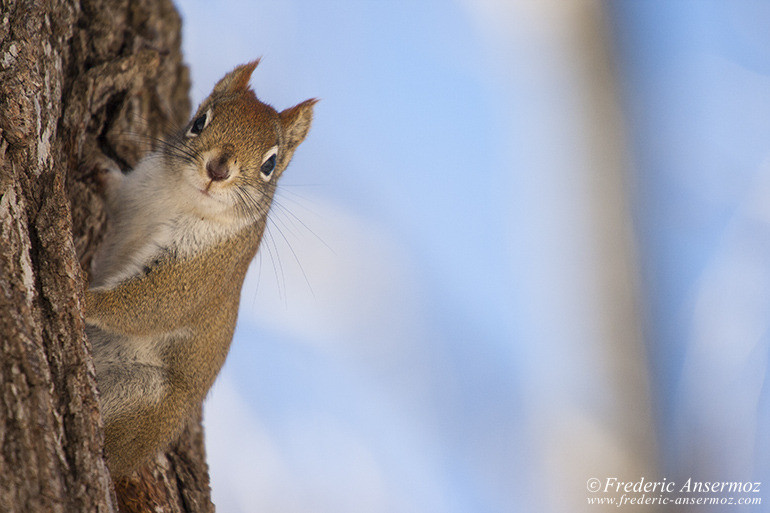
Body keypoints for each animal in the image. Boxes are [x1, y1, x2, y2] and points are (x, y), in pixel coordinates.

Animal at [82, 61, 314, 476]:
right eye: (199, 121)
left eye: (270, 164)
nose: (218, 169)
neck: (180, 198)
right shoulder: (134, 192)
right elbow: (115, 191)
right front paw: (98, 167)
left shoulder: (207, 268)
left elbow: (154, 303)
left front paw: (83, 297)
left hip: (145, 399)